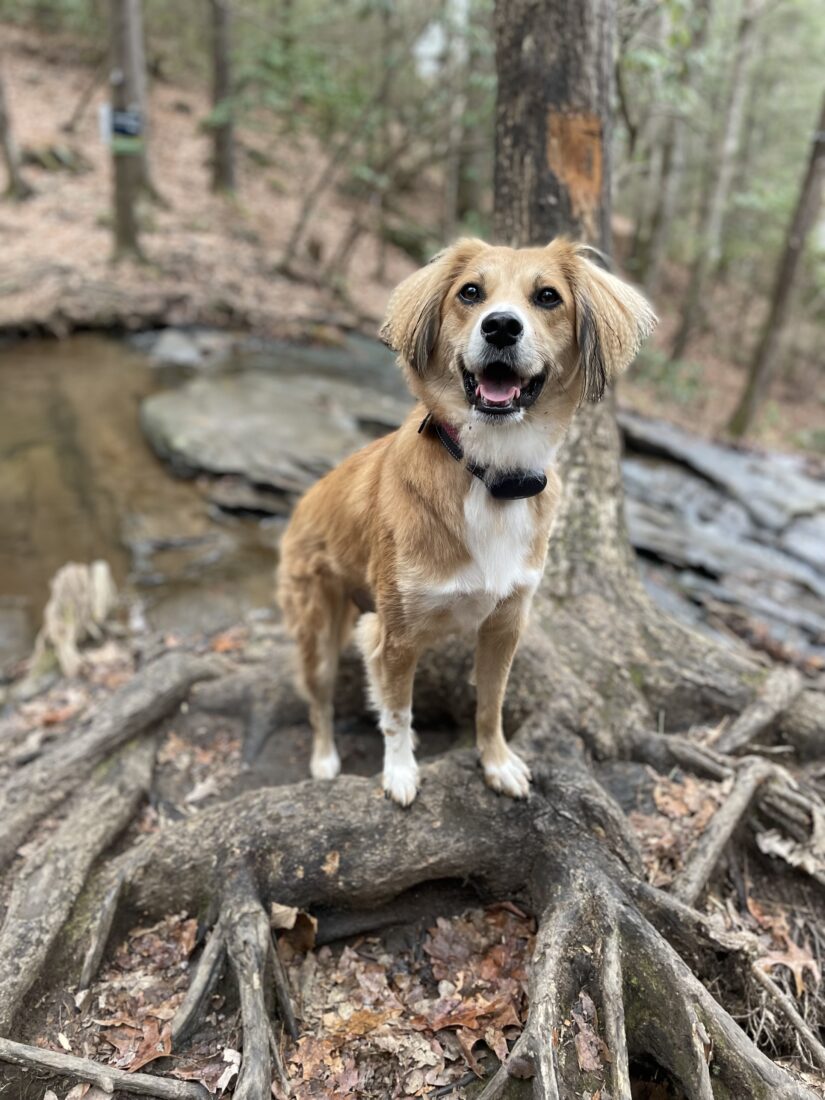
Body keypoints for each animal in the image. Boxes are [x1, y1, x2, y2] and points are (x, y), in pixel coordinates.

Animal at [281, 238, 655, 809]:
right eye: (470, 293)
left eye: (548, 297)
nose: (500, 326)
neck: (491, 474)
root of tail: (304, 502)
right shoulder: (396, 634)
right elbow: (397, 711)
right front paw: (400, 772)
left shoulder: (506, 624)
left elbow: (491, 703)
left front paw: (496, 762)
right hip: (319, 630)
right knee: (320, 701)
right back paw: (324, 760)